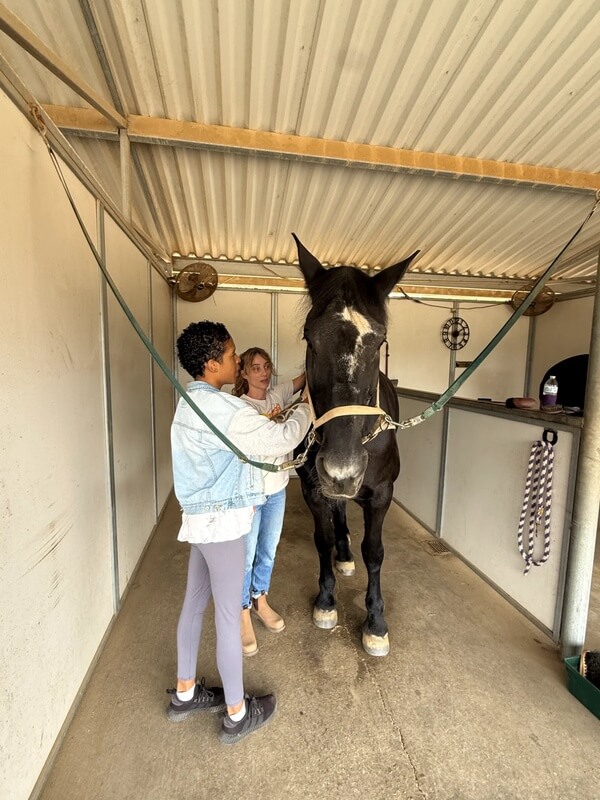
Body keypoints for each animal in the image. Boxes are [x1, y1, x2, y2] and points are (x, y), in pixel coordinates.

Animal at [292, 234, 419, 656]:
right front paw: (326, 602)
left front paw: (376, 623)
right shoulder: (314, 488)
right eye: (309, 337)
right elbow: (323, 538)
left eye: (379, 341)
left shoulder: (381, 493)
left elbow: (375, 552)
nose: (342, 469)